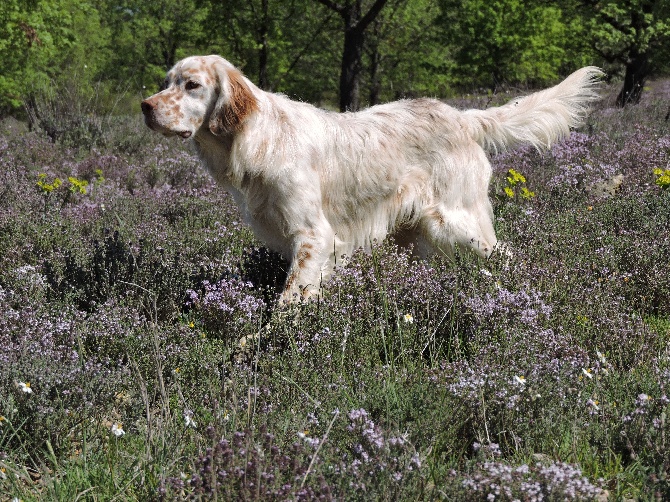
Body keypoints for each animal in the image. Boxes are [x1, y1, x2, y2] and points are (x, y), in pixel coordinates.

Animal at [142, 55, 604, 302]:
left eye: (192, 84)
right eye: (166, 82)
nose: (145, 106)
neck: (258, 138)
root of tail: (462, 117)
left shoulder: (314, 236)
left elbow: (288, 301)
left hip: (457, 222)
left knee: (505, 255)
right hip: (419, 236)